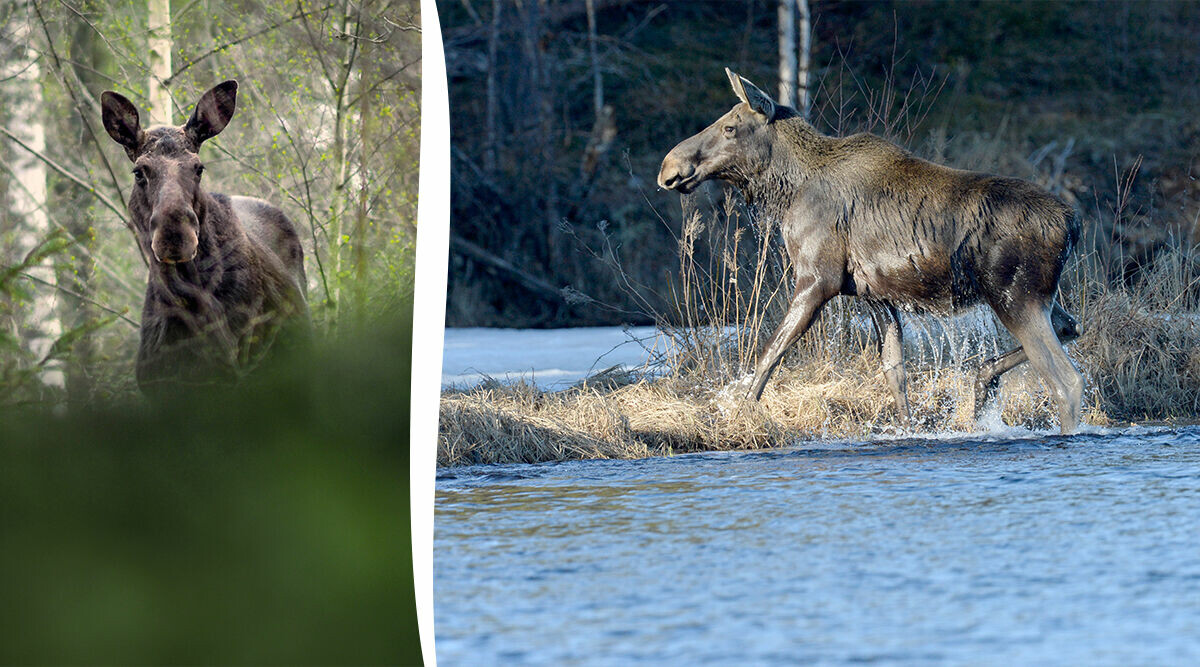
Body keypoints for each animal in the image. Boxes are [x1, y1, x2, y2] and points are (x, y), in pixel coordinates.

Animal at [662, 67, 1084, 431]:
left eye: (730, 127)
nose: (669, 167)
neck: (787, 189)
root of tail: (1073, 222)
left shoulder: (818, 279)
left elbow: (769, 354)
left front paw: (736, 414)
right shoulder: (876, 295)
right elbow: (895, 373)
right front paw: (909, 428)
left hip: (1015, 295)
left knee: (1067, 381)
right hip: (1035, 297)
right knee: (1069, 326)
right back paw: (982, 385)